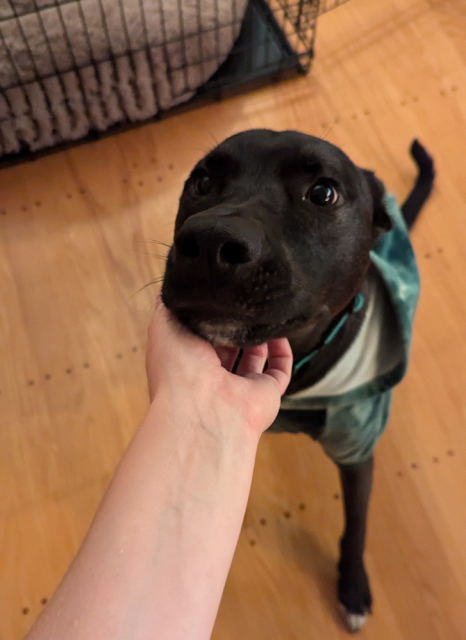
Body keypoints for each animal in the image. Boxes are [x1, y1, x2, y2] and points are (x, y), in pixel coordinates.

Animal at [162, 130, 436, 632]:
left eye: (323, 193)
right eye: (202, 182)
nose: (210, 242)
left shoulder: (356, 451)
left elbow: (357, 525)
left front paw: (352, 586)